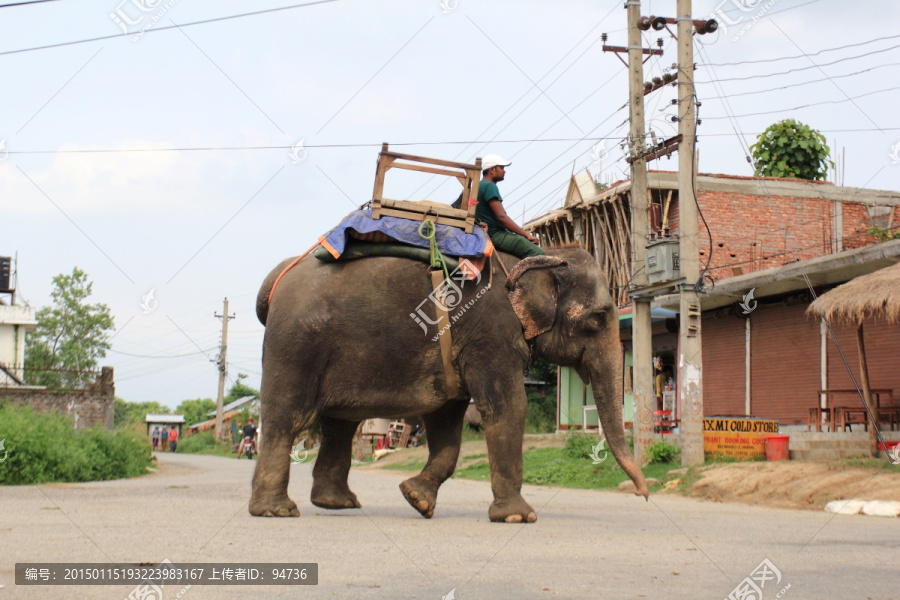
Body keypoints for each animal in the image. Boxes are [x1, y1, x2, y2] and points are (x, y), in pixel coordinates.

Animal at [250, 246, 652, 524]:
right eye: (598, 317)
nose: (644, 494)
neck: (543, 254)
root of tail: (278, 277)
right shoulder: (491, 333)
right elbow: (508, 407)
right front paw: (518, 517)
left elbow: (447, 425)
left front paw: (417, 498)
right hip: (295, 346)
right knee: (288, 419)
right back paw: (277, 511)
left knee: (339, 426)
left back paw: (337, 503)